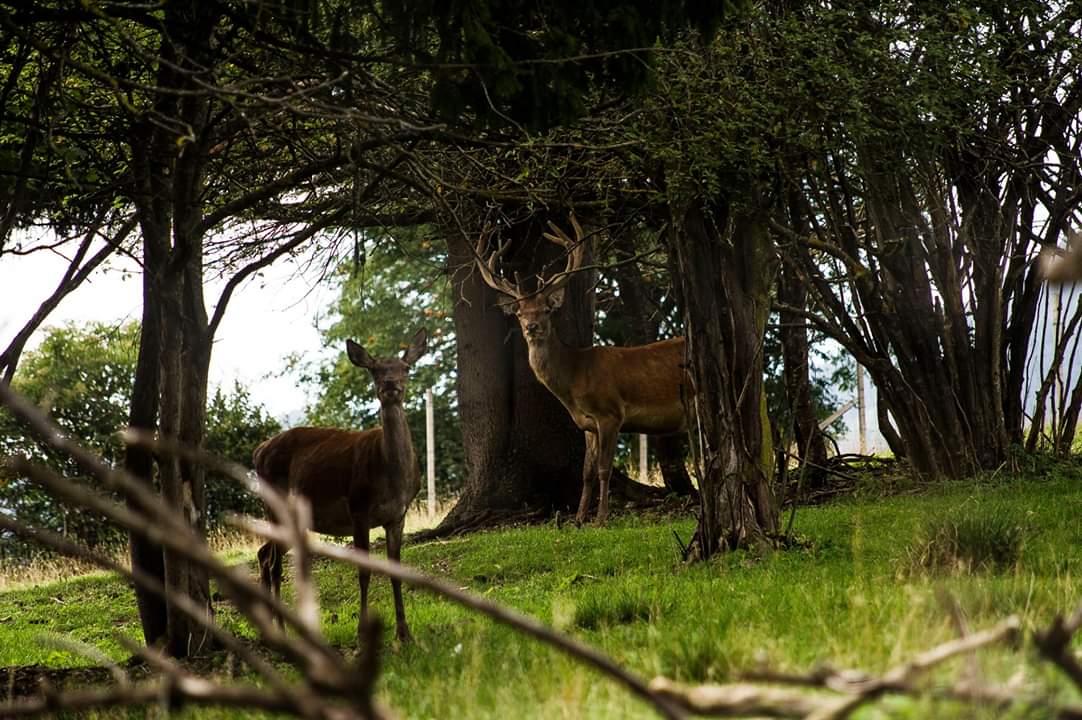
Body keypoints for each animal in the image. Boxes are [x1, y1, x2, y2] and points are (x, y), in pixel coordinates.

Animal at [253, 328, 427, 644]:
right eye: (374, 369)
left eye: (405, 367)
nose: (390, 384)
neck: (392, 477)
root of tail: (258, 452)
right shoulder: (358, 506)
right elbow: (363, 572)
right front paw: (362, 633)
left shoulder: (398, 514)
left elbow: (396, 571)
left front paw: (404, 634)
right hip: (276, 504)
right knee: (272, 562)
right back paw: (282, 630)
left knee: (263, 553)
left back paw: (270, 629)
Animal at [475, 217, 693, 525]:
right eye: (519, 312)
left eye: (546, 309)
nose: (532, 327)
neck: (575, 378)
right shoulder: (587, 424)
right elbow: (586, 472)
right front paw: (578, 518)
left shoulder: (611, 413)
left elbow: (603, 469)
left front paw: (601, 517)